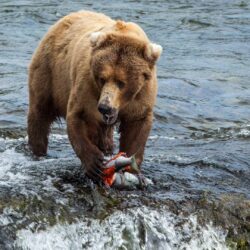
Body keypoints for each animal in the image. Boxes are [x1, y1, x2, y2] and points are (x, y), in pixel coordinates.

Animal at [27, 10, 162, 181]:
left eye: (122, 82)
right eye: (102, 78)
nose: (105, 107)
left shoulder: (142, 94)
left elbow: (137, 124)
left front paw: (130, 166)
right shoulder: (87, 87)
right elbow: (79, 116)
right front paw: (94, 163)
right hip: (49, 72)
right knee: (40, 112)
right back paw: (38, 150)